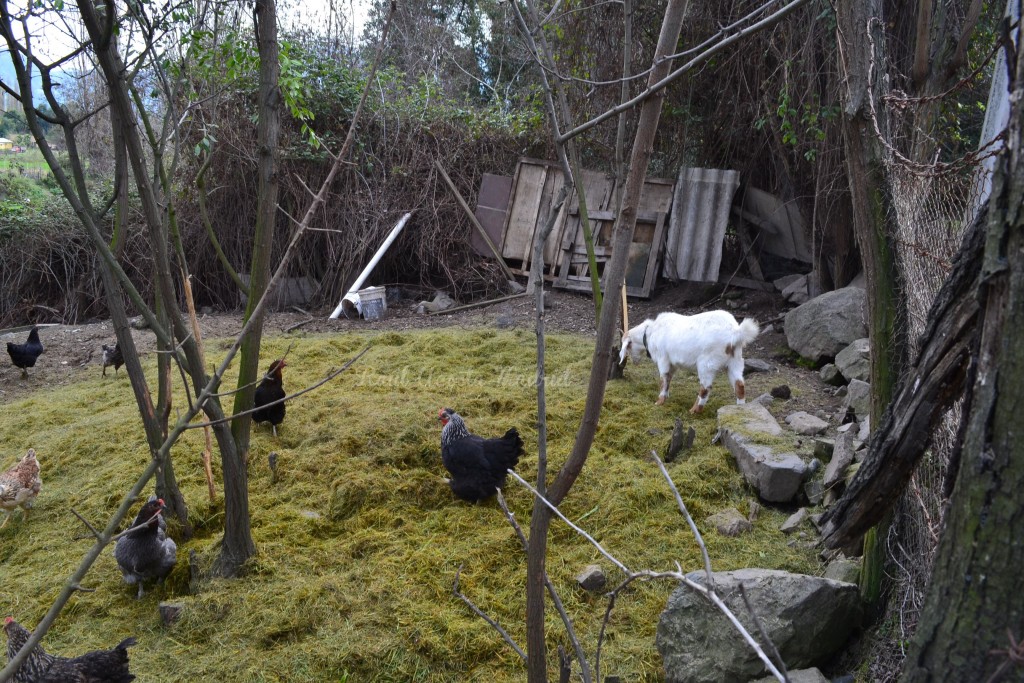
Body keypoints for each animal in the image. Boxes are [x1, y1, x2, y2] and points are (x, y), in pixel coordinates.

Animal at [618, 313, 757, 413]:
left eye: (628, 347)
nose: (634, 362)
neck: (650, 333)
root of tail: (735, 332)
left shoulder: (663, 359)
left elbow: (663, 379)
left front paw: (660, 401)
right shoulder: (672, 364)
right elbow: (669, 379)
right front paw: (666, 396)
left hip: (706, 364)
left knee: (705, 388)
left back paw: (694, 410)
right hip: (735, 361)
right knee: (740, 385)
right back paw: (739, 409)